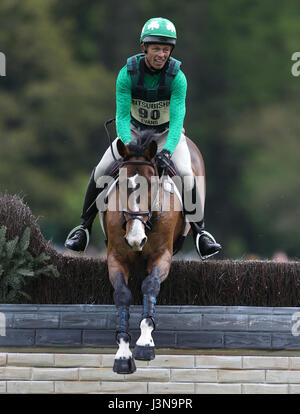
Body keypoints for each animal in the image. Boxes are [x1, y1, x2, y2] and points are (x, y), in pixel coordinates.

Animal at [102, 130, 205, 376]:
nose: (135, 239)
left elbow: (150, 286)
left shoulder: (162, 256)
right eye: (122, 185)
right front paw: (123, 354)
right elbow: (122, 295)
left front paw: (145, 343)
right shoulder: (116, 258)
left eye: (151, 185)